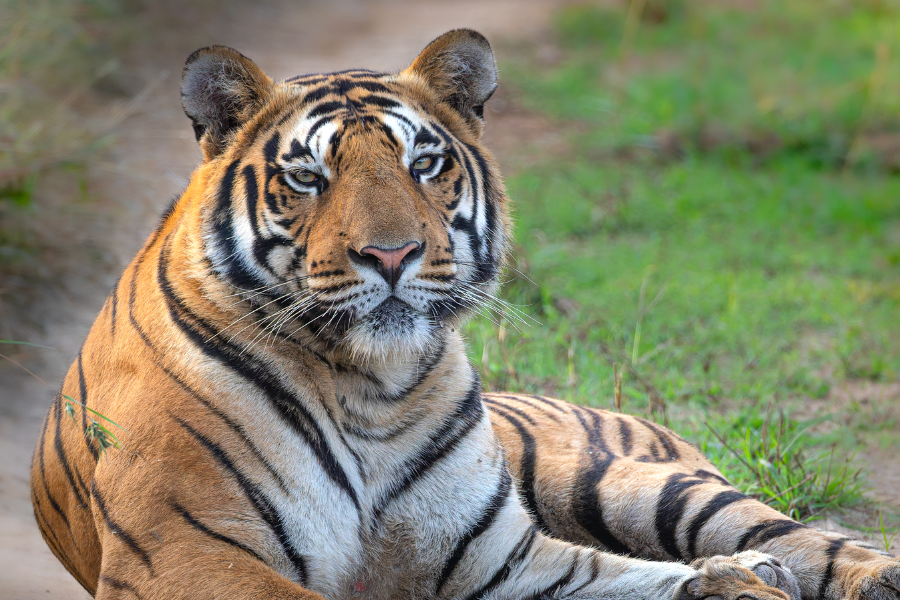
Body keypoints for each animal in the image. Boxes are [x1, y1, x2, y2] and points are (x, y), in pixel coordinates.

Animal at [30, 28, 899, 600]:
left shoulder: (495, 562)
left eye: (424, 163)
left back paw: (849, 574)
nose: (391, 255)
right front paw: (730, 585)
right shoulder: (188, 550)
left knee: (791, 531)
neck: (371, 391)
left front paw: (732, 584)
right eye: (308, 176)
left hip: (628, 483)